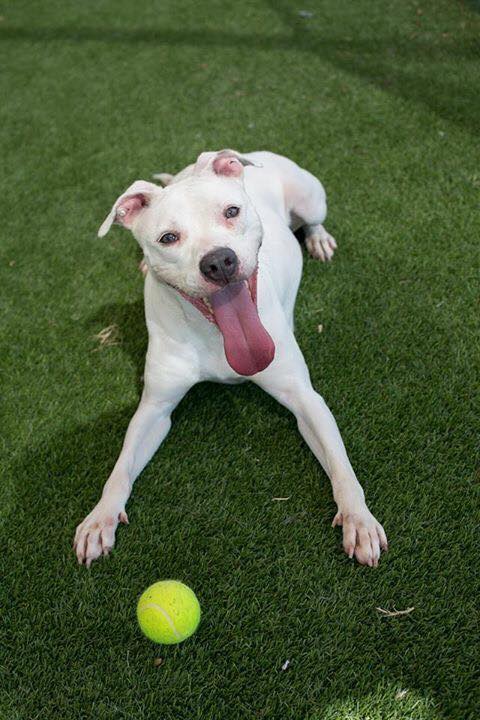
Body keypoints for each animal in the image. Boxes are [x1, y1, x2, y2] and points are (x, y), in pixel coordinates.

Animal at [76, 150, 390, 568]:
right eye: (168, 238)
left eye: (231, 211)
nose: (218, 261)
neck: (217, 337)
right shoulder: (154, 410)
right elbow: (121, 469)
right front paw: (100, 518)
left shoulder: (306, 398)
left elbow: (341, 467)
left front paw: (359, 520)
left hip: (311, 198)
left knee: (313, 219)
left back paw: (319, 238)